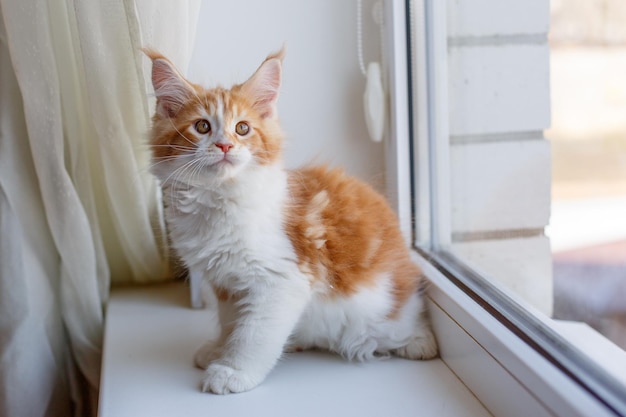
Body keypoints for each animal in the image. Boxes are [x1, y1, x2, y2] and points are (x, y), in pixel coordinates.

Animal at [144, 48, 436, 394]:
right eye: (202, 126)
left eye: (242, 129)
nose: (225, 145)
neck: (218, 200)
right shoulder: (227, 284)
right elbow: (231, 323)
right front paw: (219, 349)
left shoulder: (280, 279)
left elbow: (253, 334)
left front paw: (233, 371)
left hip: (381, 312)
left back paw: (419, 341)